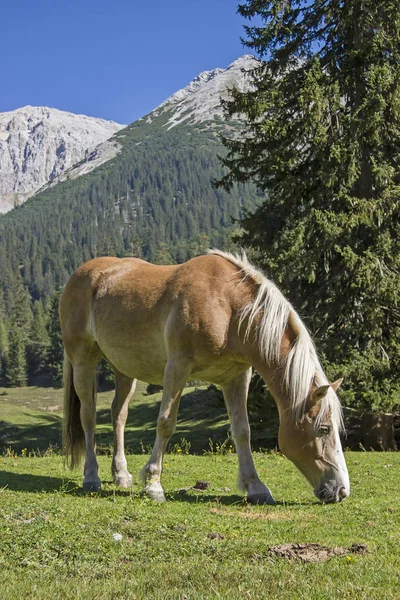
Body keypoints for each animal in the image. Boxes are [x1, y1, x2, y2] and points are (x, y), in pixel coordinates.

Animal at [59, 251, 350, 504]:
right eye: (324, 429)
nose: (341, 490)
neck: (229, 307)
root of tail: (81, 273)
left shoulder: (237, 378)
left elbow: (242, 431)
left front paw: (256, 487)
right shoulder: (177, 367)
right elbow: (165, 423)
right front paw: (153, 485)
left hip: (125, 369)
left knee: (118, 415)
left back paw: (120, 474)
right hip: (83, 359)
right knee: (88, 416)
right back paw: (91, 477)